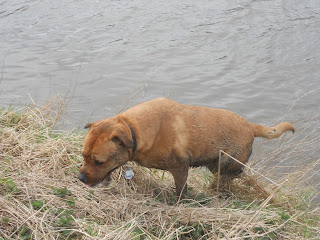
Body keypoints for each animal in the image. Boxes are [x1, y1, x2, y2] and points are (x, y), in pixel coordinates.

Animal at [78, 97, 296, 199]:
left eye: (99, 161)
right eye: (83, 156)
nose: (79, 178)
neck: (134, 130)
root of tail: (250, 126)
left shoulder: (180, 168)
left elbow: (180, 192)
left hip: (227, 165)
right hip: (217, 164)